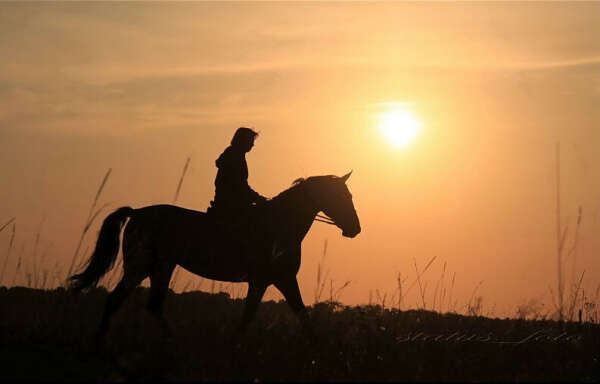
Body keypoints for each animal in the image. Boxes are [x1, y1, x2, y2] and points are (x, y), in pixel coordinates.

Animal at [70, 172, 360, 340]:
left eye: (349, 194)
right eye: (339, 195)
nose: (355, 229)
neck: (279, 223)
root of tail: (138, 213)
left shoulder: (280, 280)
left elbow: (300, 315)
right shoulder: (268, 280)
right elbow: (252, 317)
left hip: (161, 267)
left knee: (153, 305)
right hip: (139, 267)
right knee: (115, 300)